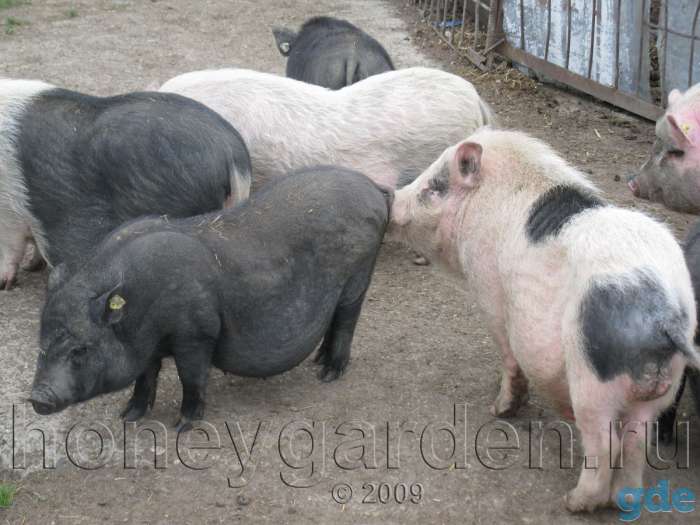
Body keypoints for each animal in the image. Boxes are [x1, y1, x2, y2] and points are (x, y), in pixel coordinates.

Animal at [30, 167, 390, 429]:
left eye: (81, 349)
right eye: (42, 343)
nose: (38, 398)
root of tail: (374, 189)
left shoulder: (196, 333)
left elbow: (191, 377)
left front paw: (181, 425)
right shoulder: (149, 345)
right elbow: (145, 377)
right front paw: (128, 417)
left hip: (358, 276)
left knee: (346, 321)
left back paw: (328, 375)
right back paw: (318, 362)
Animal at [387, 128, 699, 512]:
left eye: (434, 186)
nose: (393, 199)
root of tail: (663, 315)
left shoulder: (489, 291)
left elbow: (507, 353)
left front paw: (499, 409)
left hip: (592, 378)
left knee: (605, 443)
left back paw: (573, 503)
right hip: (662, 389)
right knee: (636, 440)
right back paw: (622, 501)